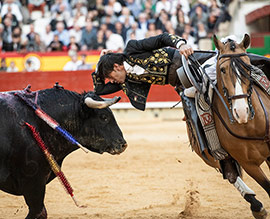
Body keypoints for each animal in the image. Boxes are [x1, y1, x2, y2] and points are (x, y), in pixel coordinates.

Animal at [186, 33, 270, 218]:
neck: (249, 126)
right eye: (223, 69)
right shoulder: (248, 164)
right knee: (231, 176)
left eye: (248, 67)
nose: (241, 111)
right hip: (211, 158)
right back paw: (256, 206)